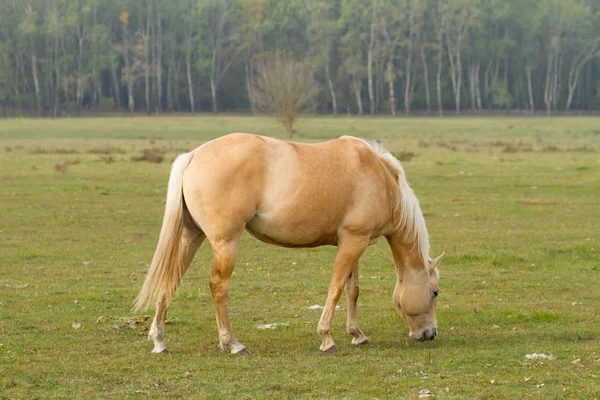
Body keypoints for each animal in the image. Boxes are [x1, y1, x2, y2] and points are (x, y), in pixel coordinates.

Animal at [134, 133, 442, 354]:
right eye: (435, 293)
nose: (430, 334)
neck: (379, 177)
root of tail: (193, 156)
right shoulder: (353, 242)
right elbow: (336, 288)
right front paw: (327, 338)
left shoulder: (355, 242)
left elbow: (352, 290)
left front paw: (357, 334)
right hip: (225, 243)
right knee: (218, 286)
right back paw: (232, 343)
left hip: (191, 236)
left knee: (170, 279)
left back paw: (159, 341)